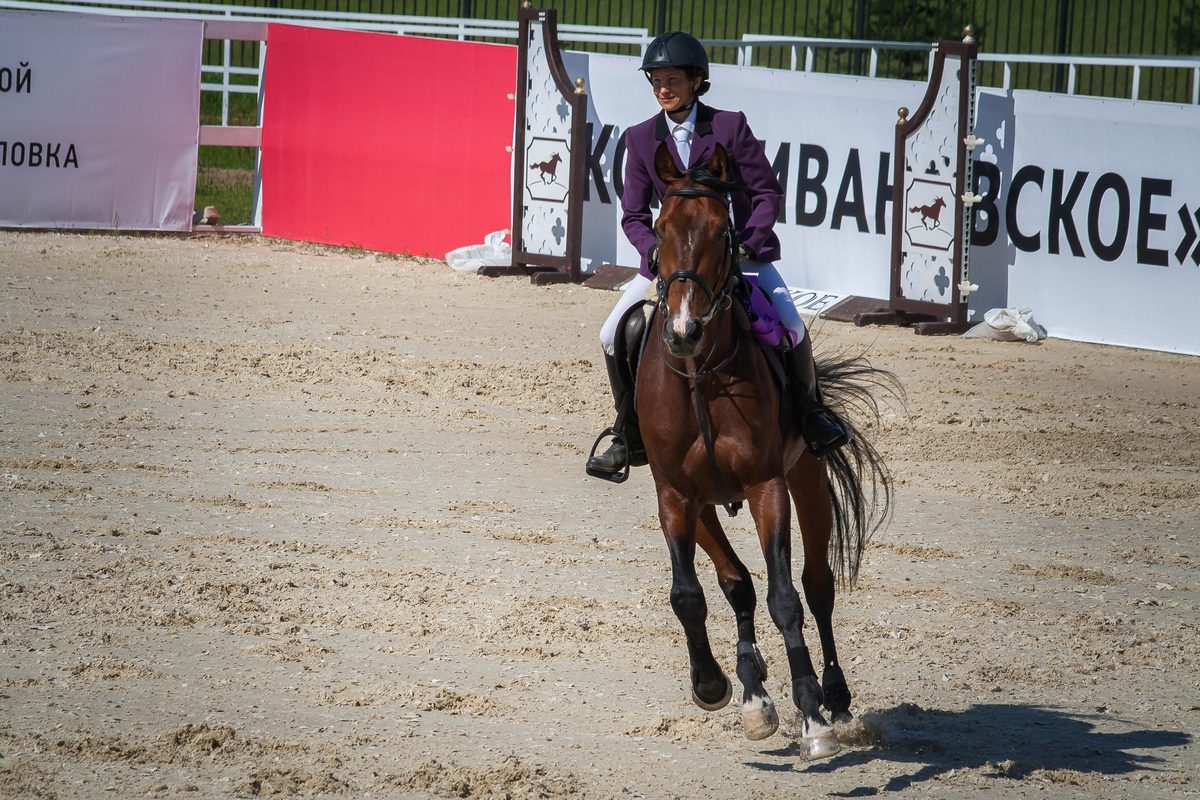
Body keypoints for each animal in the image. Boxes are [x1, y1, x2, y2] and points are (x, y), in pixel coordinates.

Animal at [633, 140, 897, 762]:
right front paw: (713, 686)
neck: (701, 377)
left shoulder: (766, 485)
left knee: (817, 587)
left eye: (722, 230)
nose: (683, 331)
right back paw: (754, 694)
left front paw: (813, 718)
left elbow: (785, 599)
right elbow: (689, 595)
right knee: (736, 585)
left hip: (808, 479)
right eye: (657, 226)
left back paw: (836, 700)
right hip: (705, 504)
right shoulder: (674, 495)